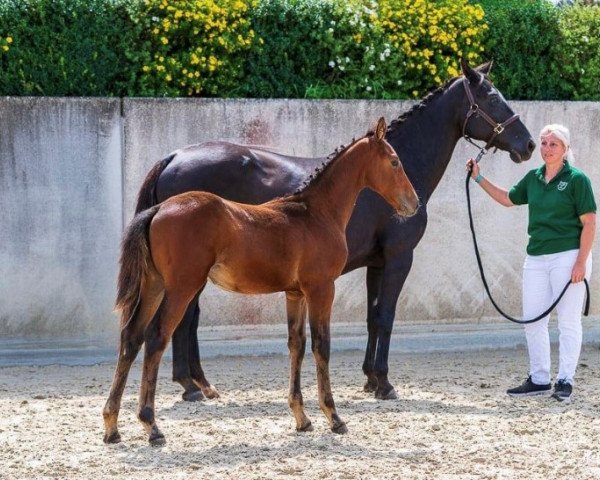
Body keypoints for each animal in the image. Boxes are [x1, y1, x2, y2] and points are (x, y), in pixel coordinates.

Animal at [102, 117, 418, 446]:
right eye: (395, 161)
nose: (414, 203)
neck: (315, 213)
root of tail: (158, 210)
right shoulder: (321, 288)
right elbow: (322, 345)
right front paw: (334, 417)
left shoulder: (295, 294)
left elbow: (296, 344)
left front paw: (302, 418)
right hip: (181, 288)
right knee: (156, 338)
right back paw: (152, 426)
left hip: (153, 285)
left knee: (131, 338)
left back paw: (112, 426)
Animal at [134, 59, 532, 402]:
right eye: (492, 98)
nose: (527, 144)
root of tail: (174, 157)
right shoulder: (399, 258)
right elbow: (386, 317)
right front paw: (384, 383)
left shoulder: (377, 263)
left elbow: (373, 318)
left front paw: (370, 379)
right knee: (184, 318)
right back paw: (191, 386)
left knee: (188, 318)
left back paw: (199, 383)